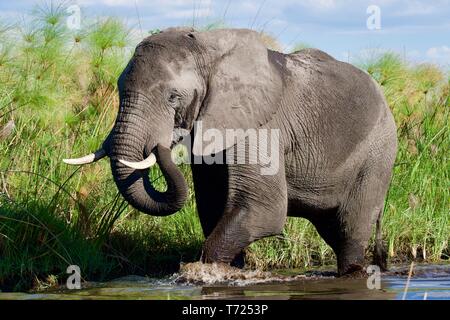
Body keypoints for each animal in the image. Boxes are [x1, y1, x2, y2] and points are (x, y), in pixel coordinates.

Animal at [64, 27, 398, 276]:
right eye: (120, 89)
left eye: (173, 97)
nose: (162, 143)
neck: (208, 49)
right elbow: (214, 206)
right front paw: (230, 271)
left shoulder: (261, 125)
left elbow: (263, 208)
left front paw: (208, 271)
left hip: (378, 154)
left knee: (349, 231)